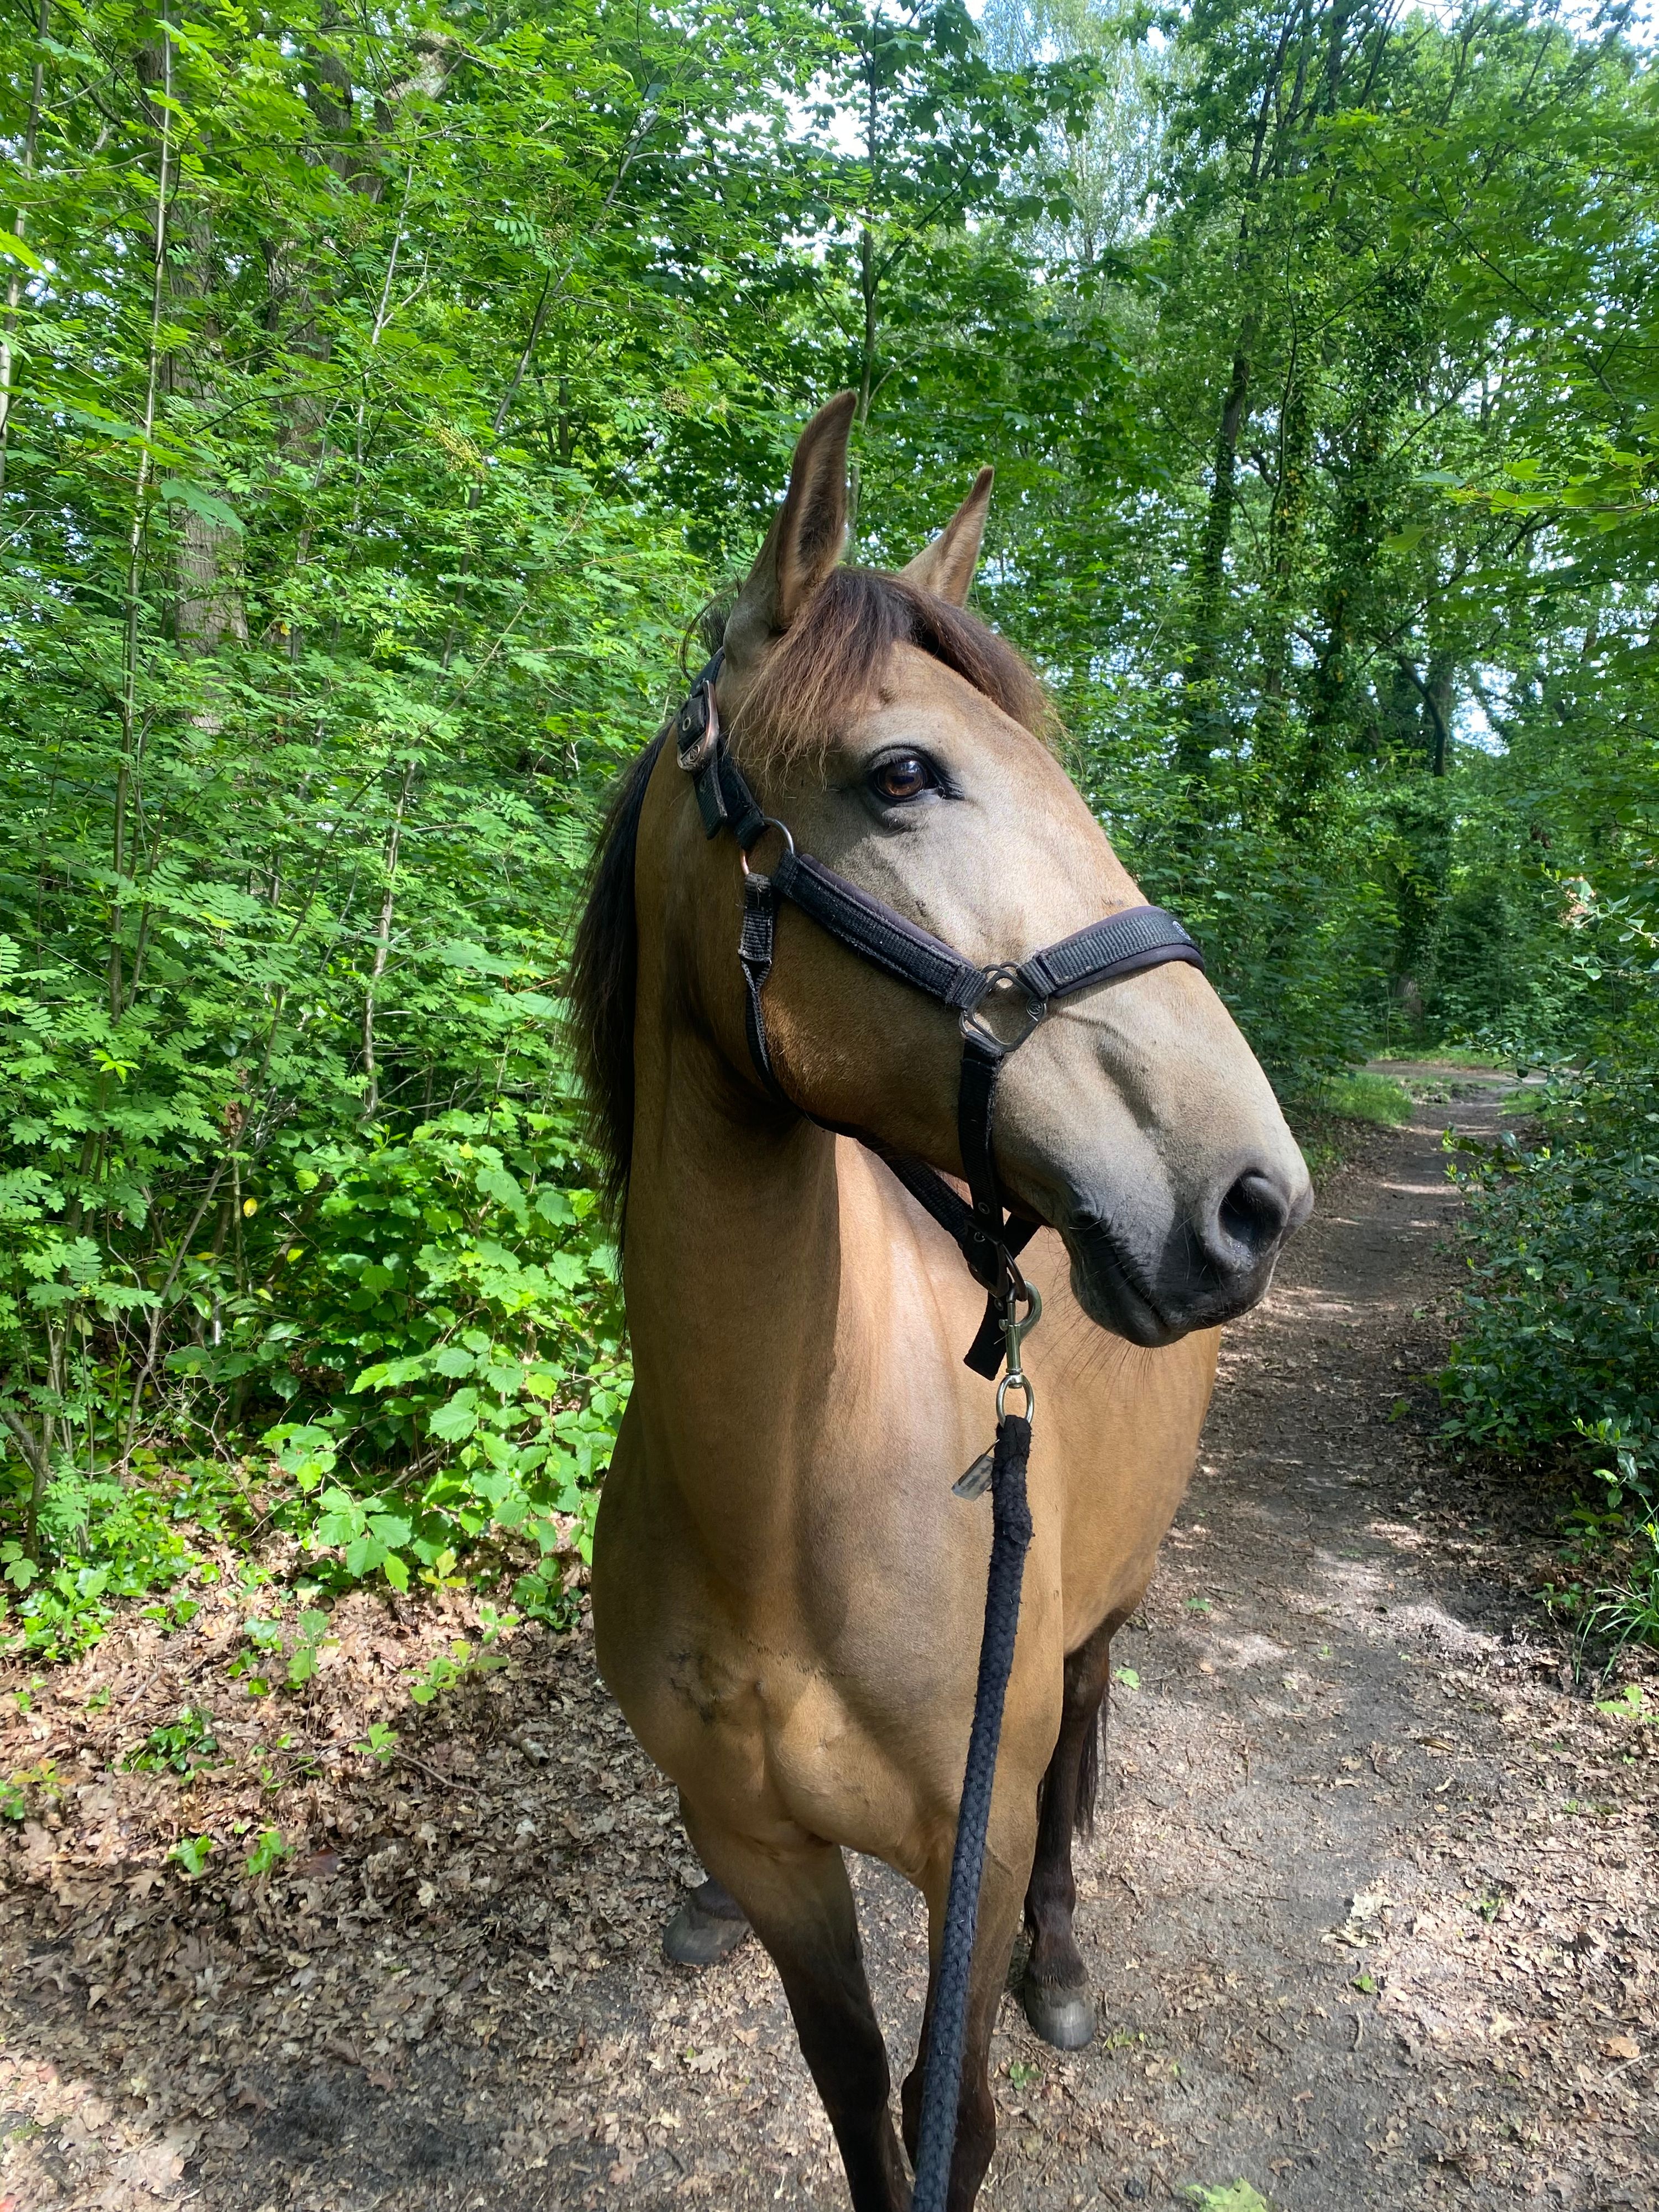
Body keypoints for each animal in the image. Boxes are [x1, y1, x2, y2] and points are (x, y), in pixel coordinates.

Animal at [574, 392, 1311, 2211]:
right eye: (901, 773)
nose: (1251, 1193)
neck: (778, 1502)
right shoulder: (769, 1849)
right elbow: (855, 2102)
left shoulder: (956, 1849)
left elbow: (945, 2118)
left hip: (1107, 1603)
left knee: (1085, 1732)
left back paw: (1064, 1957)